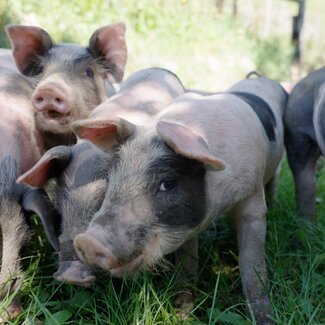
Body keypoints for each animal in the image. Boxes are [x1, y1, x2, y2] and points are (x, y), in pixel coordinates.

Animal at [71, 75, 286, 322]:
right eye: (111, 176)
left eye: (167, 183)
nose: (86, 240)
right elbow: (187, 265)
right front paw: (182, 314)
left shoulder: (252, 198)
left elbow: (251, 266)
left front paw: (266, 318)